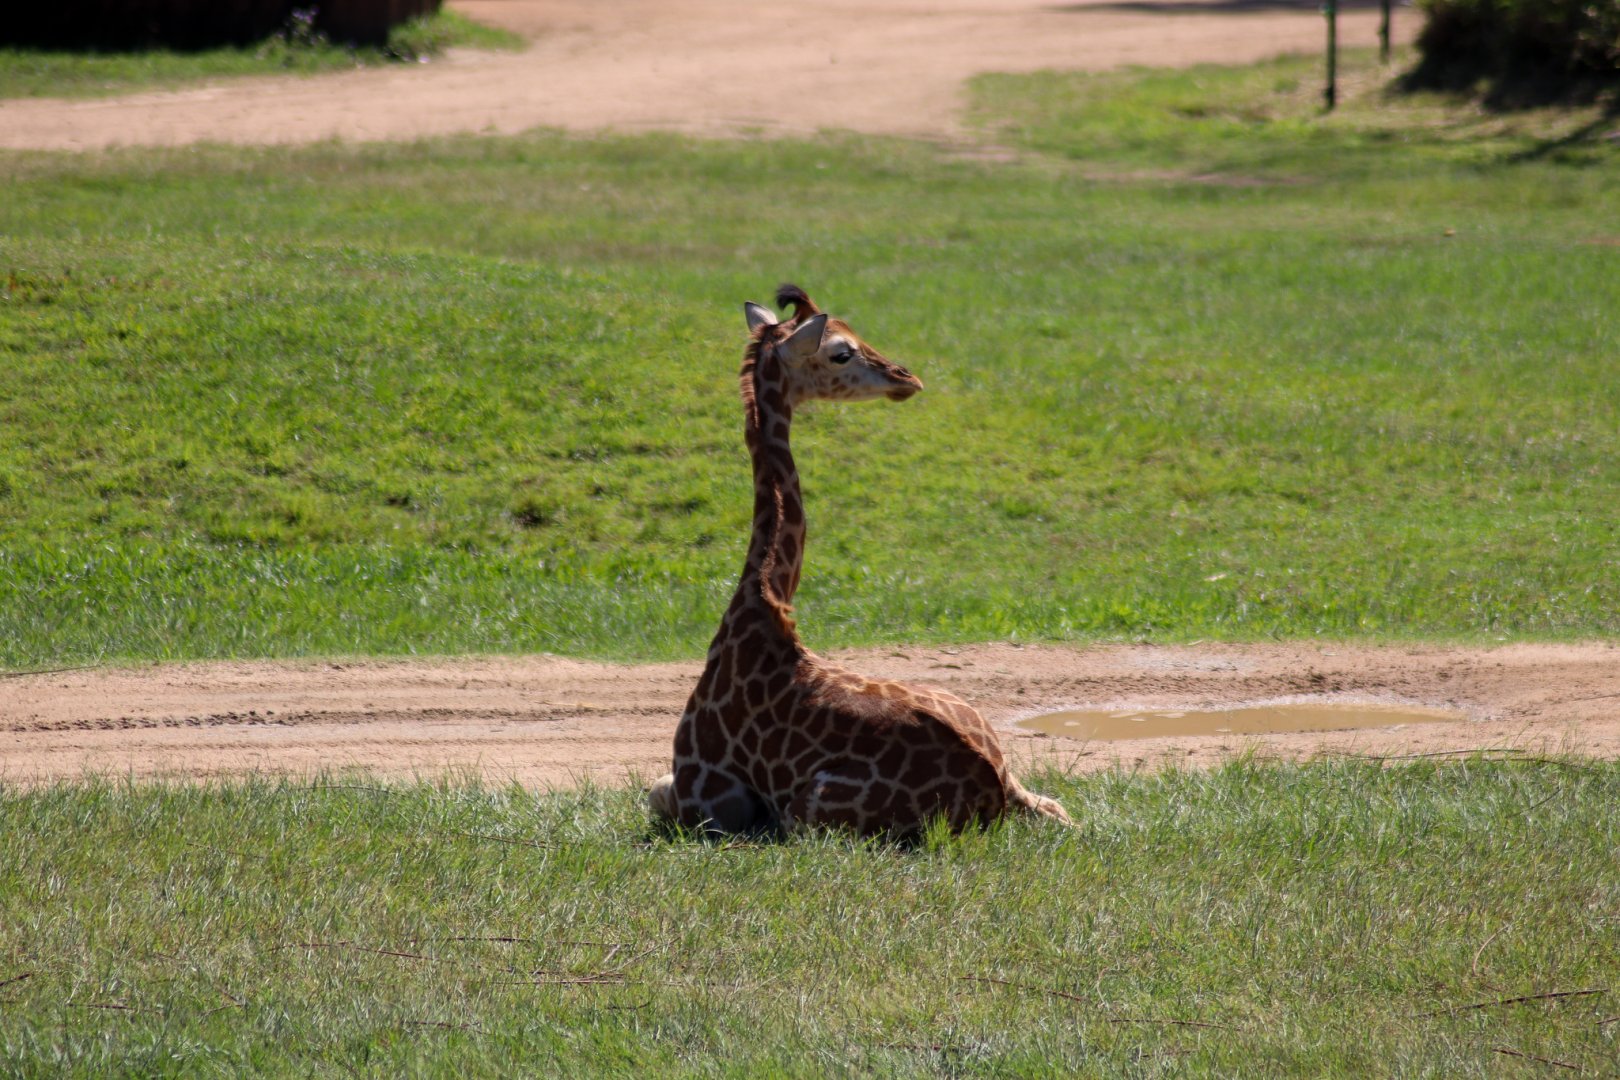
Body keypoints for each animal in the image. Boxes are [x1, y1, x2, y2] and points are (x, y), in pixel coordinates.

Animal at [647, 285, 1070, 836]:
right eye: (841, 352)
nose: (906, 377)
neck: (761, 604)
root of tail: (992, 790)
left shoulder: (704, 799)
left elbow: (651, 792)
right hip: (1012, 770)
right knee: (1061, 808)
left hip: (806, 812)